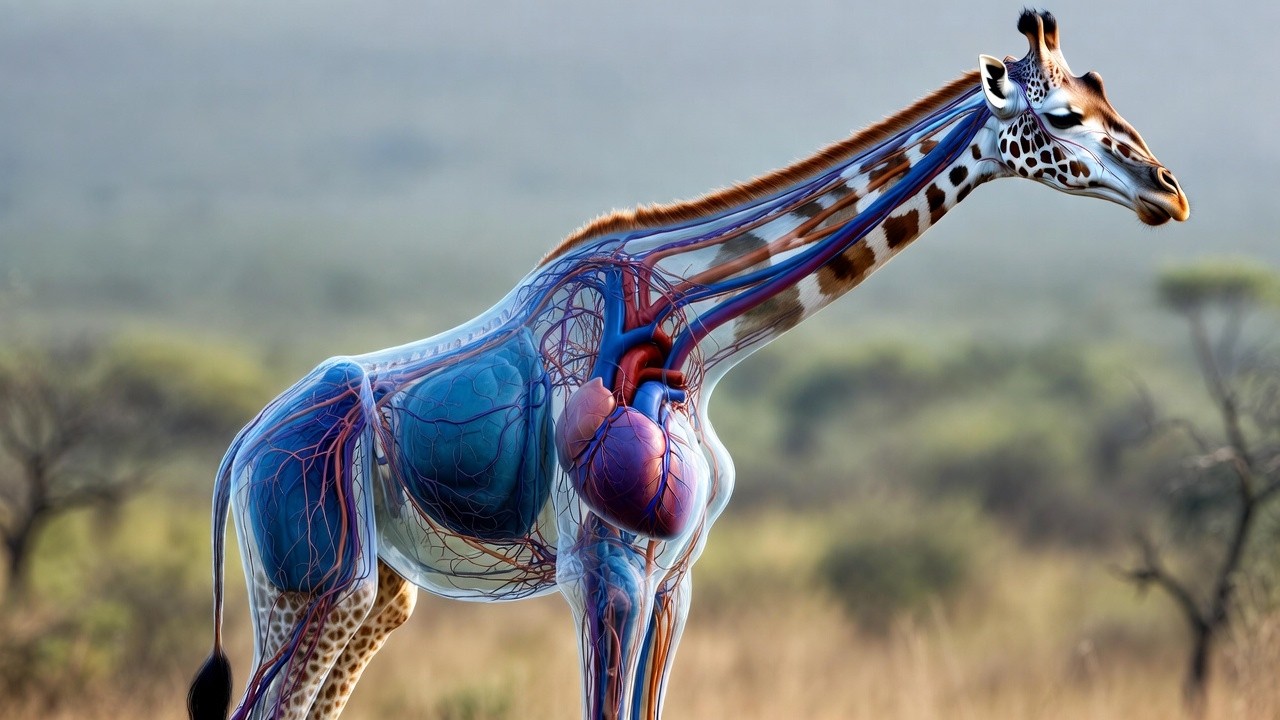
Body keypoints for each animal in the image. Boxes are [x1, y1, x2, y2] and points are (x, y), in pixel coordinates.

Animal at [188, 10, 1188, 720]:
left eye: (1110, 101)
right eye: (1061, 114)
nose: (1168, 192)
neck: (700, 346)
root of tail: (243, 442)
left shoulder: (676, 576)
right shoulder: (605, 568)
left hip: (380, 593)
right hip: (314, 575)